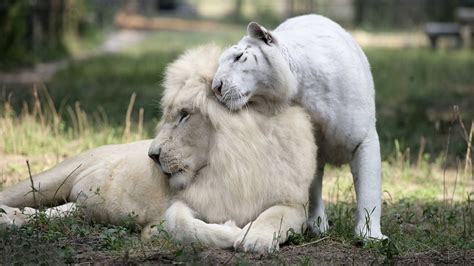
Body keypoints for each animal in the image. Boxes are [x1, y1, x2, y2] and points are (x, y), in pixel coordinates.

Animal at [2, 45, 318, 254]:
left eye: (184, 115)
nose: (152, 156)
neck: (231, 164)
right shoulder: (180, 205)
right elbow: (183, 226)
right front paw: (231, 230)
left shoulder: (294, 203)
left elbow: (275, 215)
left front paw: (256, 238)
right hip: (48, 178)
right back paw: (7, 216)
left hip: (79, 205)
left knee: (53, 212)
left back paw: (15, 217)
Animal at [211, 14, 386, 239]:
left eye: (239, 57)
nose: (215, 87)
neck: (302, 89)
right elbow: (312, 187)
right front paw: (318, 225)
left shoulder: (364, 139)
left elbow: (369, 188)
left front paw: (370, 236)